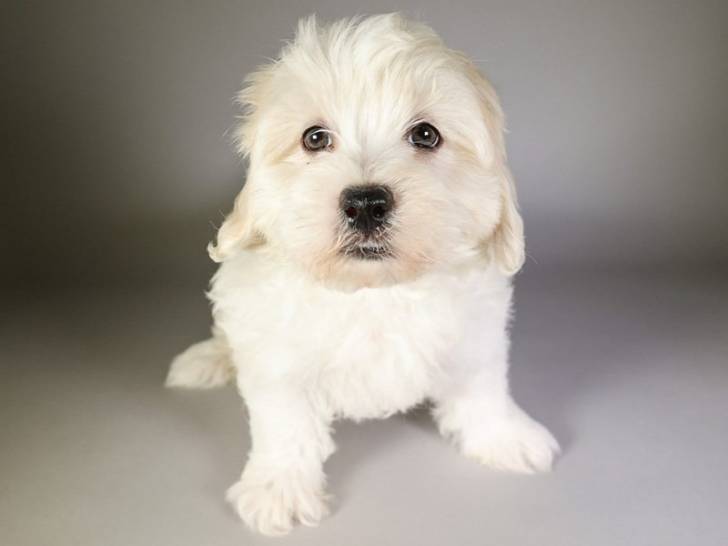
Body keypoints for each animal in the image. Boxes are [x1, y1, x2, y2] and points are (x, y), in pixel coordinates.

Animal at [167, 13, 559, 536]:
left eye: (426, 135)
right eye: (314, 138)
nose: (366, 202)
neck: (373, 291)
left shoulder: (475, 333)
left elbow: (482, 387)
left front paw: (504, 437)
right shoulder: (275, 354)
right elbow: (285, 423)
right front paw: (279, 489)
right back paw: (209, 359)